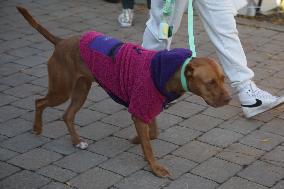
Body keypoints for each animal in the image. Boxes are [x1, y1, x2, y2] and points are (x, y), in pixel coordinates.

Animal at [16, 5, 231, 177]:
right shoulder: (139, 111)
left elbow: (153, 134)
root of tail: (61, 41)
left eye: (223, 79)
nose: (229, 99)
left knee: (67, 115)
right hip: (62, 90)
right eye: (210, 82)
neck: (170, 71)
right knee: (39, 102)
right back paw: (37, 128)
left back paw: (77, 142)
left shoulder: (146, 109)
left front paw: (137, 140)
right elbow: (149, 145)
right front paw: (155, 167)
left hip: (80, 90)